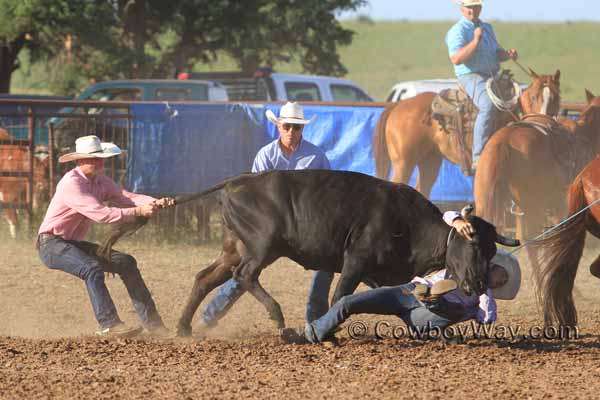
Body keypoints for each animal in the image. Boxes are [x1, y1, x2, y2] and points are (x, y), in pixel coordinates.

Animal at [372, 70, 560, 198]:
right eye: (534, 96)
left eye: (556, 97)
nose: (542, 121)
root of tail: (398, 105)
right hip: (403, 163)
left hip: (429, 161)